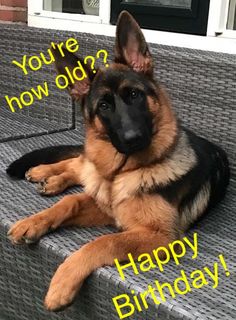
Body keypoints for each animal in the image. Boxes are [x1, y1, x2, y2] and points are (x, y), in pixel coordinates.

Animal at [6, 11, 229, 312]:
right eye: (104, 106)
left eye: (135, 95)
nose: (133, 138)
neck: (127, 172)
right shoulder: (112, 209)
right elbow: (71, 202)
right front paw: (34, 221)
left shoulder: (158, 236)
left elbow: (104, 242)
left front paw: (62, 282)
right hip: (90, 170)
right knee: (78, 165)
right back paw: (45, 173)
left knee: (79, 171)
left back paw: (50, 180)